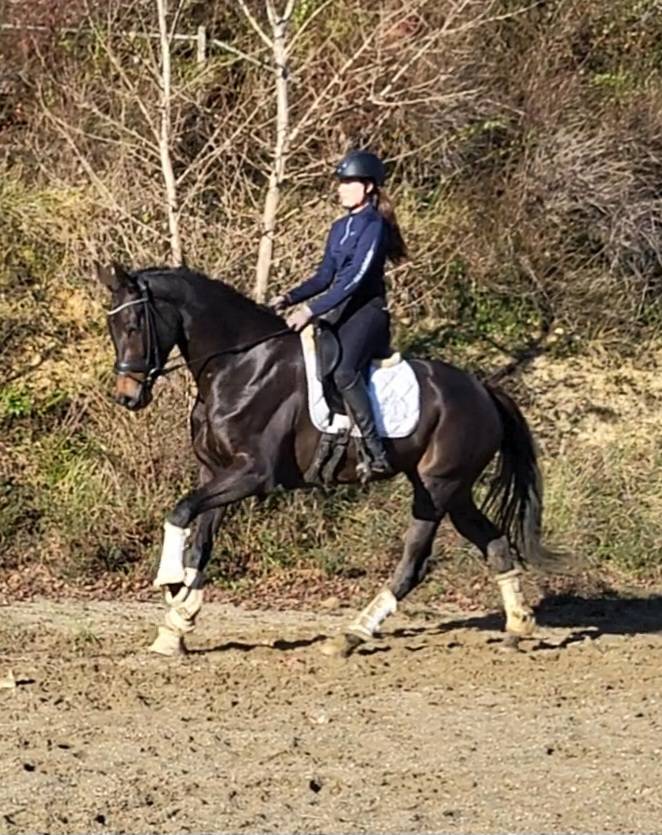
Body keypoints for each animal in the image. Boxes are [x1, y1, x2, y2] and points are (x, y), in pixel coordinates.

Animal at [97, 262, 561, 657]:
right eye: (112, 327)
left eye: (135, 325)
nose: (127, 397)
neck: (241, 364)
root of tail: (482, 390)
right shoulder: (214, 471)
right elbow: (200, 545)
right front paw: (176, 626)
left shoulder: (251, 474)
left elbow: (180, 512)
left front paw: (169, 583)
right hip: (456, 492)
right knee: (496, 544)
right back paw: (517, 628)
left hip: (436, 489)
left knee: (413, 564)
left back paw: (351, 635)